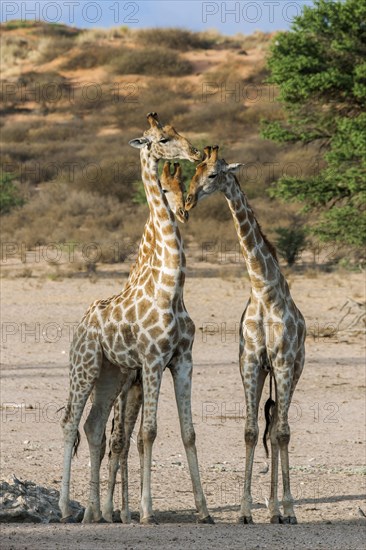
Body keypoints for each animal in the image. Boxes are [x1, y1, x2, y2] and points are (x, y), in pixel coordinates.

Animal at [58, 114, 213, 528]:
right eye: (162, 139)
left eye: (177, 133)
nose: (195, 151)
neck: (170, 287)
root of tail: (81, 324)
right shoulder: (153, 360)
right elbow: (149, 433)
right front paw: (145, 512)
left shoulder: (183, 360)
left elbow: (189, 432)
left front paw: (204, 511)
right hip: (84, 366)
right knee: (71, 423)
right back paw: (65, 508)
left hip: (111, 373)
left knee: (94, 426)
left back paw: (94, 513)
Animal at [186, 147, 306, 528]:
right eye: (193, 172)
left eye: (213, 174)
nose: (188, 200)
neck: (263, 290)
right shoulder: (251, 362)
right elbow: (251, 431)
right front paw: (244, 511)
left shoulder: (281, 360)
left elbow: (281, 432)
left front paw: (289, 509)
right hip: (269, 371)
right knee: (272, 425)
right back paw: (271, 508)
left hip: (293, 370)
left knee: (282, 429)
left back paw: (282, 509)